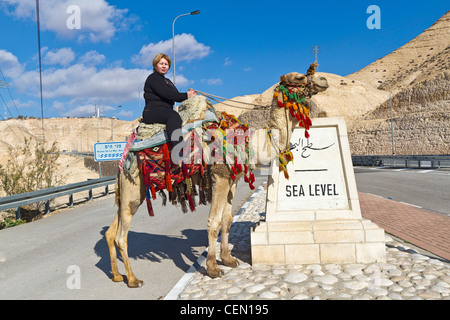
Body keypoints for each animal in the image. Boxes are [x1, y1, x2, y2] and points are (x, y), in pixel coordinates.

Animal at [105, 69, 330, 288]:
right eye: (299, 77)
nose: (324, 79)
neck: (247, 143)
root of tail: (123, 158)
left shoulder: (232, 180)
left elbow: (227, 219)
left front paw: (228, 259)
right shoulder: (220, 177)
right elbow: (213, 222)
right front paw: (213, 268)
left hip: (131, 191)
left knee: (112, 230)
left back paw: (116, 275)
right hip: (132, 185)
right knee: (122, 236)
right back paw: (133, 279)